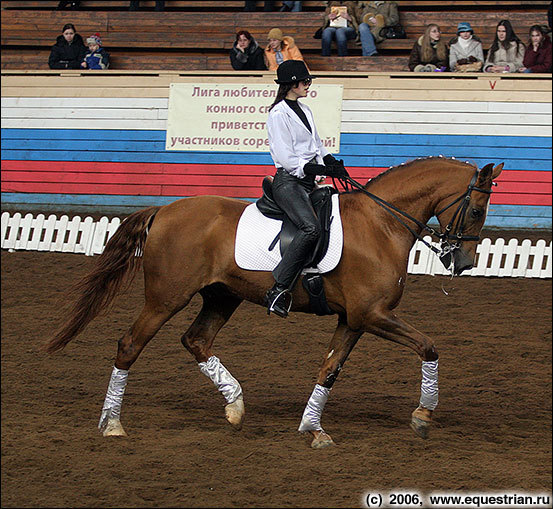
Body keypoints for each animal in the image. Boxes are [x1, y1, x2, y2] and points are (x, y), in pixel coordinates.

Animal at [45, 156, 502, 448]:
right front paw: (423, 417)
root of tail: (164, 210)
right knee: (129, 346)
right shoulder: (373, 315)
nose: (463, 262)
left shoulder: (354, 320)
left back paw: (234, 406)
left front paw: (313, 429)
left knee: (196, 340)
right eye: (476, 210)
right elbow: (428, 347)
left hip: (222, 297)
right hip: (165, 299)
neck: (381, 223)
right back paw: (112, 424)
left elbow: (329, 369)